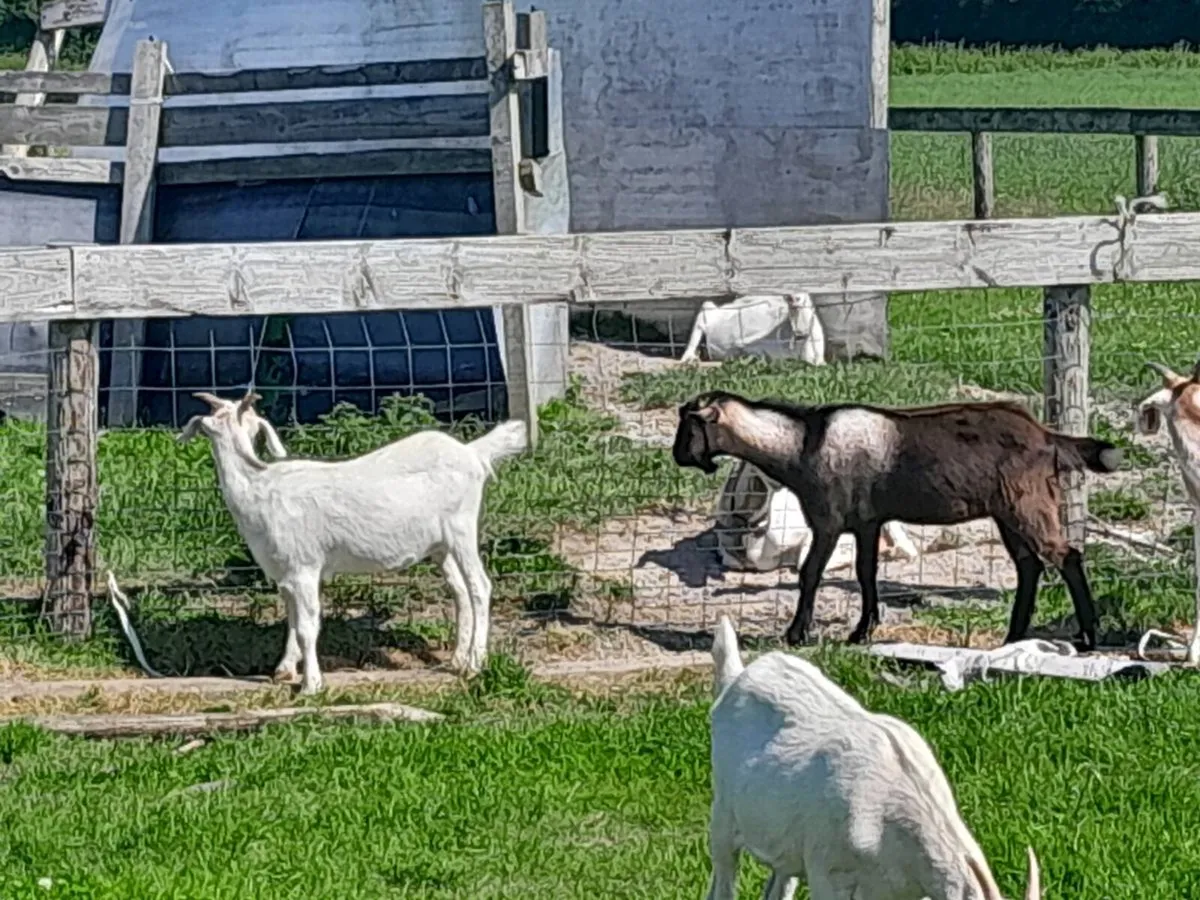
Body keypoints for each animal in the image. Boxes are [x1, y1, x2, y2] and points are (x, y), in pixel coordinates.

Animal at [179, 391, 528, 694]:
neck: (259, 487)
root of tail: (472, 453)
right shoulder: (286, 573)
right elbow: (291, 621)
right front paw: (284, 670)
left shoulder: (305, 567)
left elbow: (307, 627)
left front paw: (311, 685)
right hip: (442, 545)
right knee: (460, 591)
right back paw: (457, 659)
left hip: (462, 528)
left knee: (480, 586)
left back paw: (474, 664)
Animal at [673, 390, 1122, 649]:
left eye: (688, 425)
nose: (678, 456)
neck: (802, 443)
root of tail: (1047, 436)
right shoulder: (868, 521)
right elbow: (866, 572)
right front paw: (862, 632)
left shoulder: (830, 521)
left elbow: (811, 573)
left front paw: (796, 635)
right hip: (1007, 512)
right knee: (1029, 566)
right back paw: (1013, 637)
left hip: (1027, 504)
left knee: (1066, 556)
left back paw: (1087, 636)